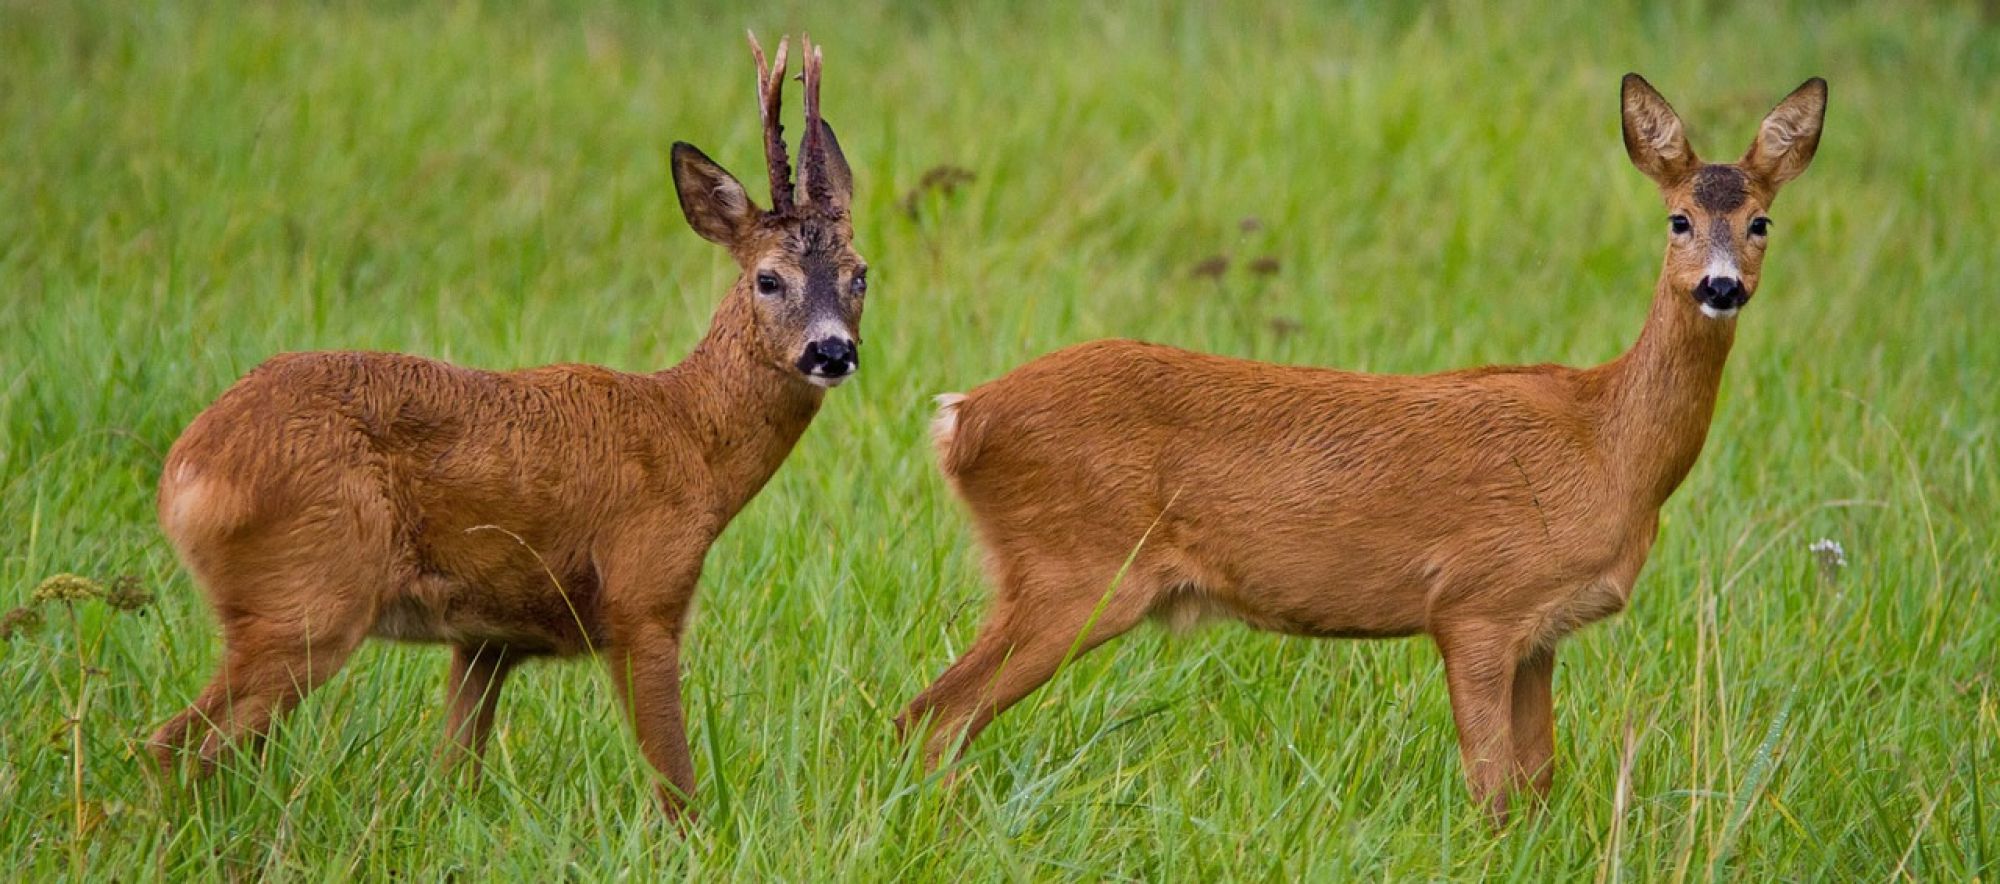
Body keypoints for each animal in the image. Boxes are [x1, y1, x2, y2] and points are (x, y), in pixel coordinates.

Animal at [141, 31, 860, 820]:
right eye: (769, 278)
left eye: (859, 274)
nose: (832, 351)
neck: (690, 439)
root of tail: (187, 470)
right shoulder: (643, 596)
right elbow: (678, 788)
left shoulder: (486, 639)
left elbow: (455, 771)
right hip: (307, 595)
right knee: (172, 745)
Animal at [904, 76, 1832, 820]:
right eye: (1679, 219)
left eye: (1761, 221)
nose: (1721, 287)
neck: (1608, 445)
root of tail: (963, 417)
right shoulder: (1476, 601)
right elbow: (1491, 788)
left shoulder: (1542, 630)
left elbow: (1538, 783)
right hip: (1074, 567)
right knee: (934, 715)